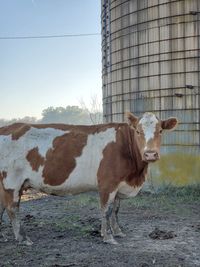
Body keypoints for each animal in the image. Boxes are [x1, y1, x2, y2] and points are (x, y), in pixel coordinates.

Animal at [0, 112, 177, 246]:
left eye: (160, 131)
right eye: (138, 132)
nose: (150, 154)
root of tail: (7, 127)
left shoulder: (119, 185)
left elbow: (116, 210)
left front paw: (118, 232)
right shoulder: (107, 184)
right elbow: (106, 210)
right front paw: (108, 237)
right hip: (12, 181)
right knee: (12, 208)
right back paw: (23, 239)